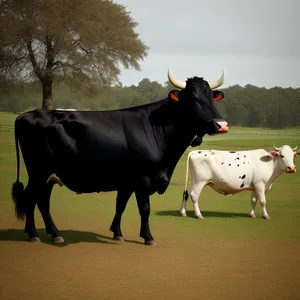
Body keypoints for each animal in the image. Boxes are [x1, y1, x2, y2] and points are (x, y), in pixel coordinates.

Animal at [11, 67, 227, 245]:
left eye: (212, 98)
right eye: (194, 99)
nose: (221, 125)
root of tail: (28, 114)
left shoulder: (127, 180)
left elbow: (120, 205)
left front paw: (117, 233)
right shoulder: (143, 178)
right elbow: (144, 208)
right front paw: (148, 237)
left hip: (49, 175)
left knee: (42, 200)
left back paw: (54, 234)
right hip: (38, 172)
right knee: (31, 197)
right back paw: (33, 234)